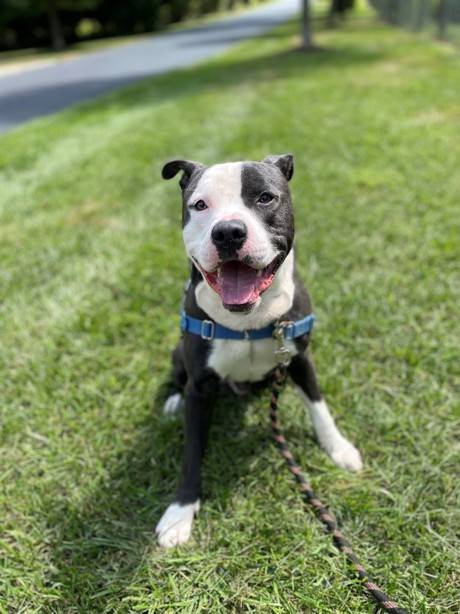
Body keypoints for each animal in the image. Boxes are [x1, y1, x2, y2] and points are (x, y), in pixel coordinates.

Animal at [155, 156, 362, 552]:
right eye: (199, 205)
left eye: (265, 197)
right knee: (176, 379)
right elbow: (191, 453)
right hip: (177, 353)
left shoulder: (299, 357)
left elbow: (319, 407)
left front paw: (338, 448)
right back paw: (172, 401)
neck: (248, 321)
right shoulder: (200, 387)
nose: (228, 232)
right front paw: (179, 513)